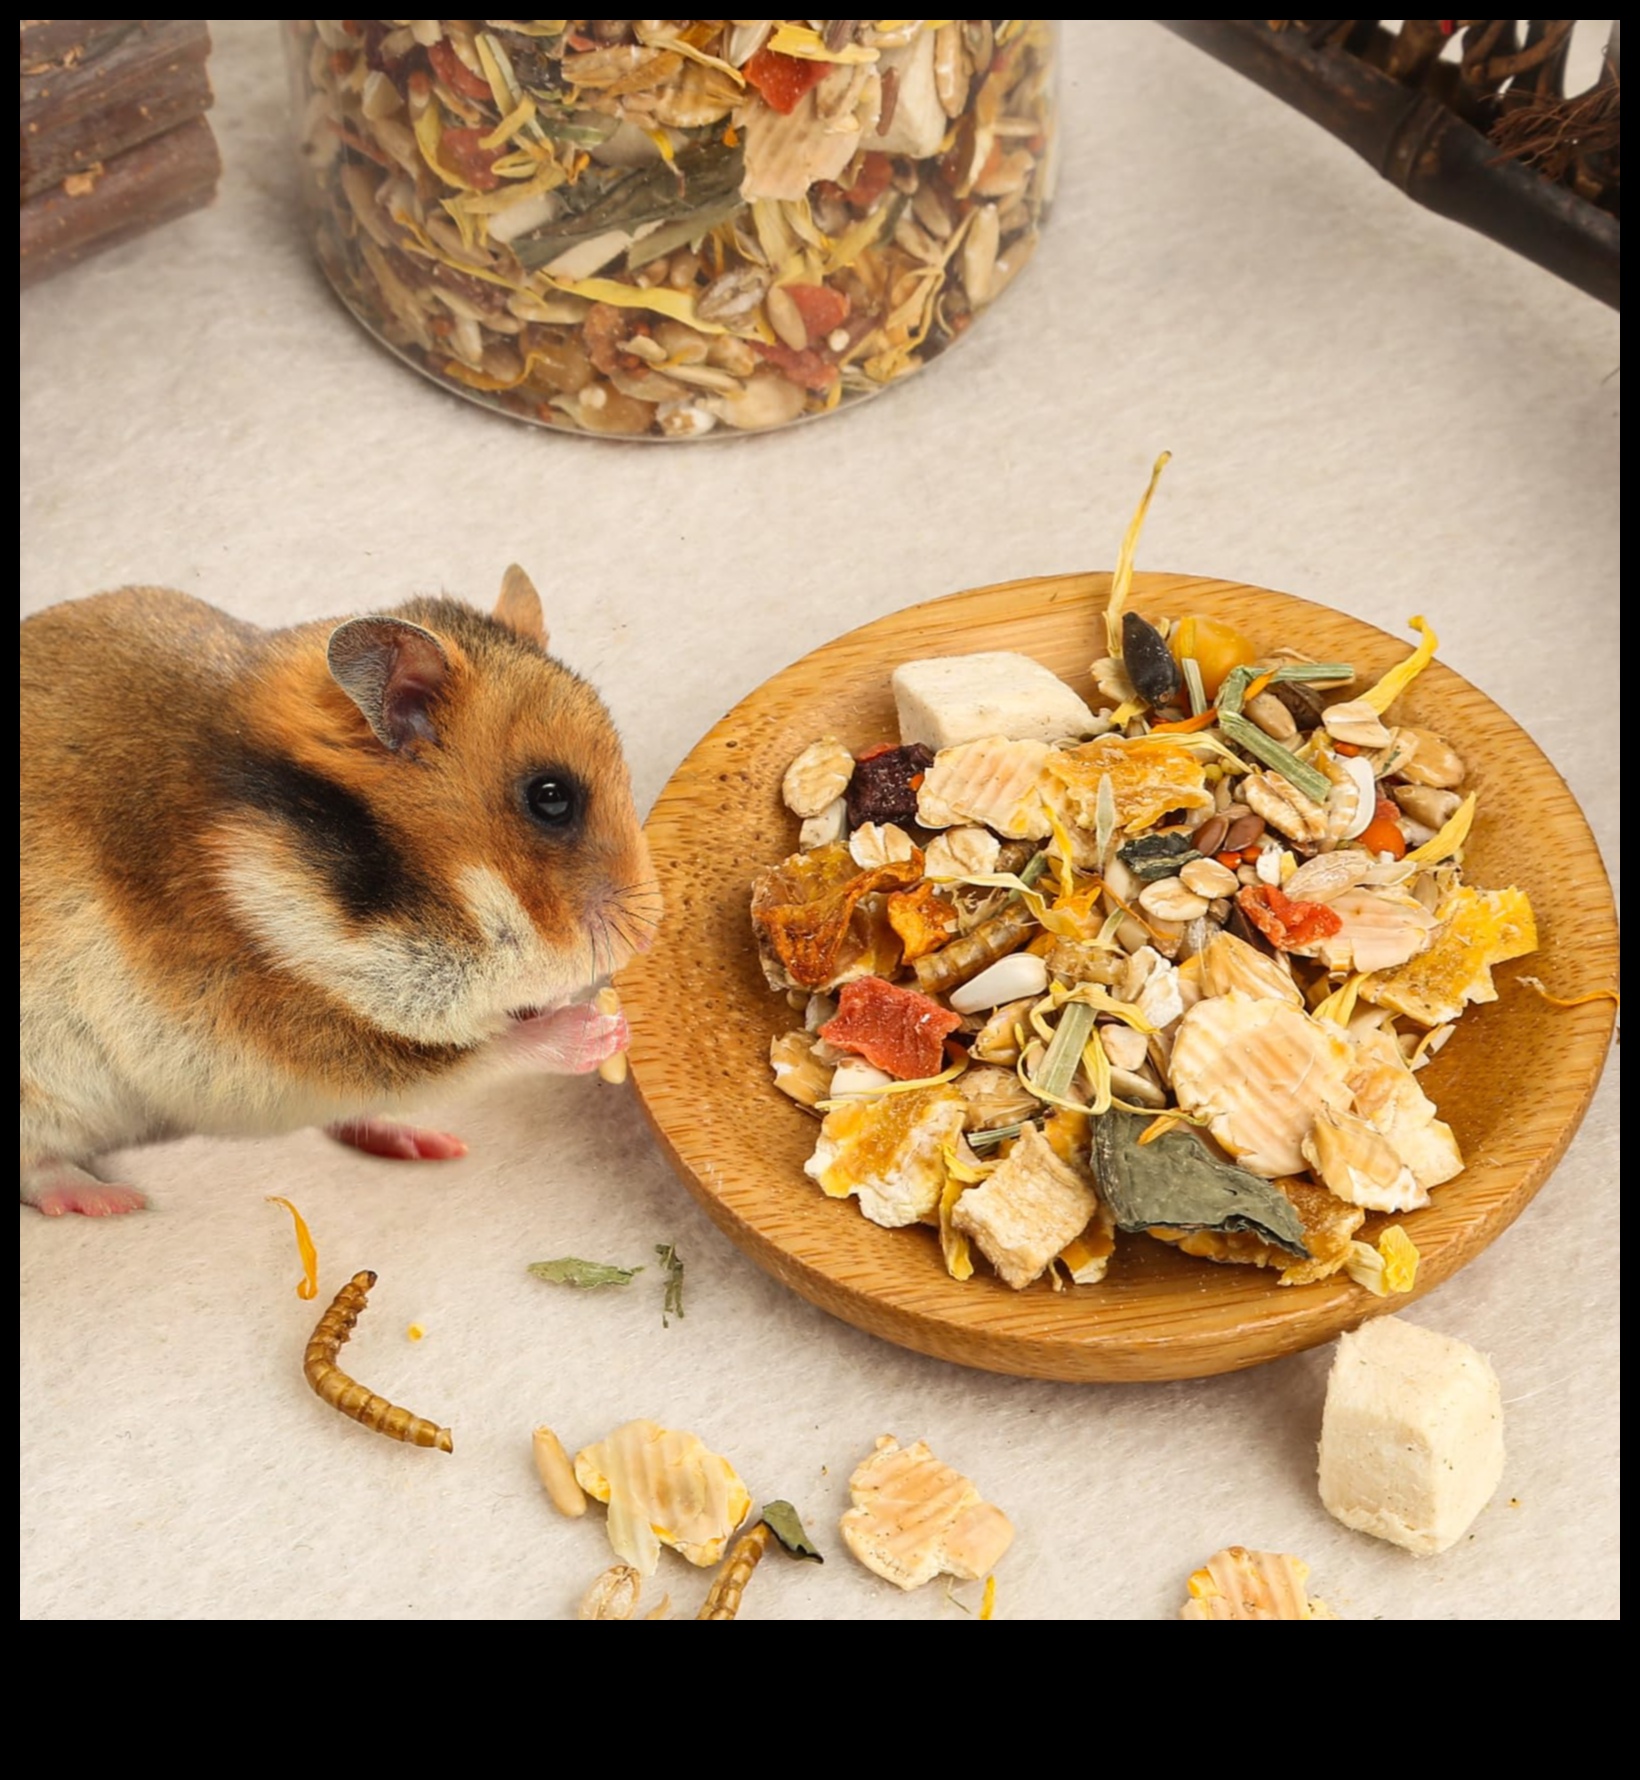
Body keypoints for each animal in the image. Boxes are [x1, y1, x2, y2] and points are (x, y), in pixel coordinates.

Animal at [20, 566, 661, 1217]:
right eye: (550, 798)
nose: (649, 934)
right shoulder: (276, 1031)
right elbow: (472, 1054)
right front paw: (601, 1031)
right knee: (38, 1167)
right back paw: (112, 1199)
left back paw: (424, 1144)